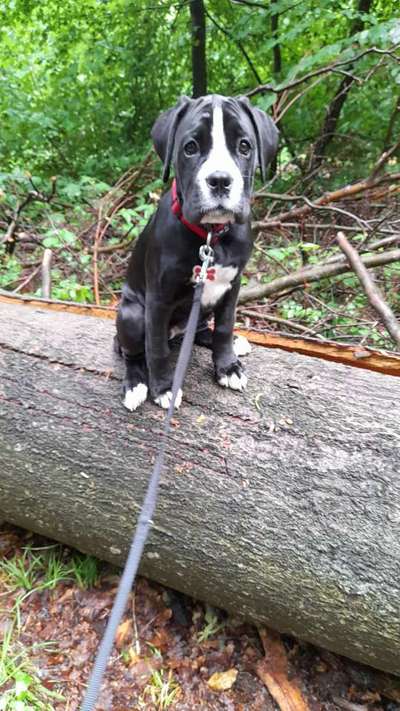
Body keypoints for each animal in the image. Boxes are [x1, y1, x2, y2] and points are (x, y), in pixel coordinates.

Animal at [115, 93, 278, 412]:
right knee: (133, 352)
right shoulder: (158, 300)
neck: (212, 236)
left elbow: (225, 327)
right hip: (132, 313)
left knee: (203, 328)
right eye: (190, 148)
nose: (220, 180)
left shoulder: (233, 285)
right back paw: (136, 383)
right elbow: (156, 348)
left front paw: (227, 366)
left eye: (244, 146)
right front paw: (164, 387)